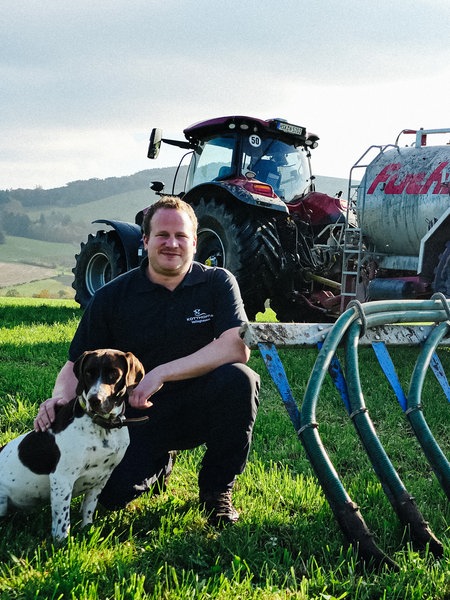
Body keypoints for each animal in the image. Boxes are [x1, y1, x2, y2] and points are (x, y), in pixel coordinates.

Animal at [0, 350, 145, 540]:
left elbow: (88, 510)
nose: (95, 400)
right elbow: (62, 521)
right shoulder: (62, 479)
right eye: (88, 373)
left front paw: (87, 530)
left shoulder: (101, 478)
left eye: (114, 373)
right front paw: (62, 544)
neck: (102, 427)